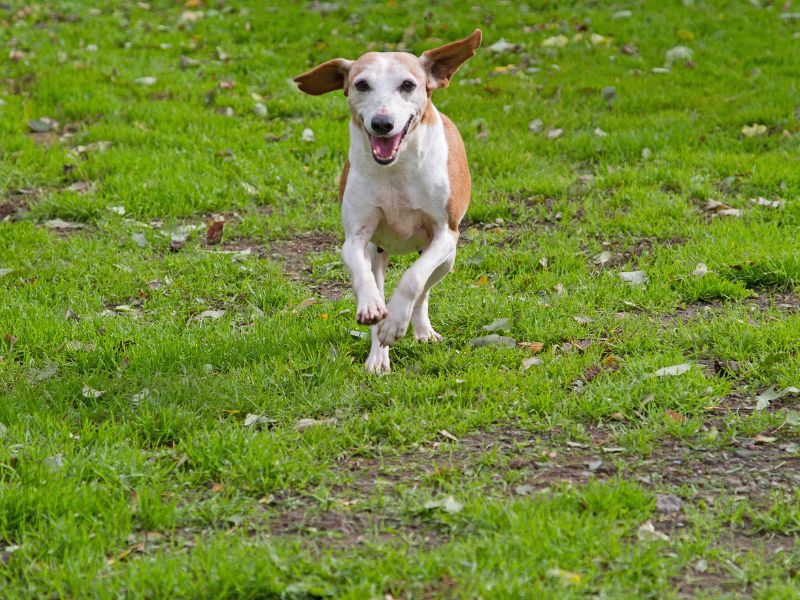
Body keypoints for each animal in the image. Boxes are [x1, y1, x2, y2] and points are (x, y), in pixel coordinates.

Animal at [294, 31, 482, 376]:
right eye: (361, 84)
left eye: (408, 84)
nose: (382, 123)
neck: (396, 169)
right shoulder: (356, 237)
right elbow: (362, 275)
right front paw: (374, 310)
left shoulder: (445, 234)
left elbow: (413, 280)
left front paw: (396, 322)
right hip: (377, 252)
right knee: (378, 281)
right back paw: (378, 353)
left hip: (447, 259)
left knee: (424, 290)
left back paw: (419, 328)